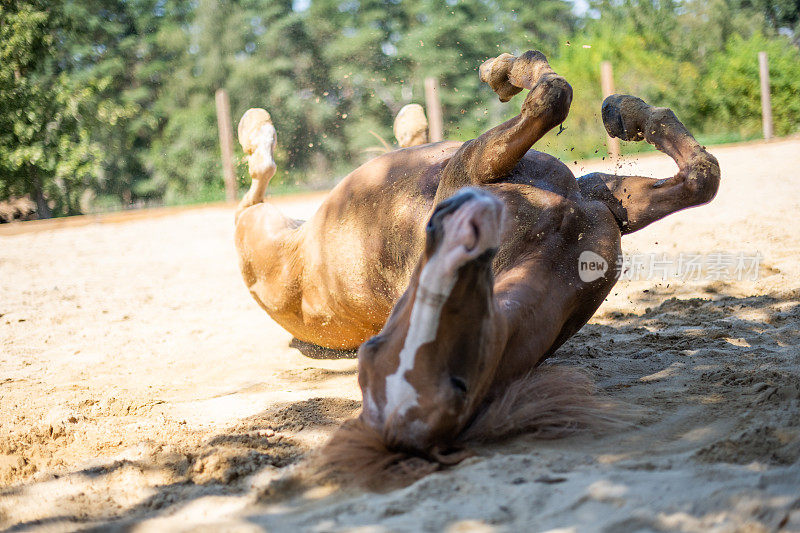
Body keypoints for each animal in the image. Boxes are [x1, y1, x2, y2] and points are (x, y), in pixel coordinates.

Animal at [233, 50, 720, 486]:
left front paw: (626, 111)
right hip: (260, 229)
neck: (551, 247)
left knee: (259, 181)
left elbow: (701, 176)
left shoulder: (599, 198)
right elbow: (553, 97)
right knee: (256, 184)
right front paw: (508, 73)